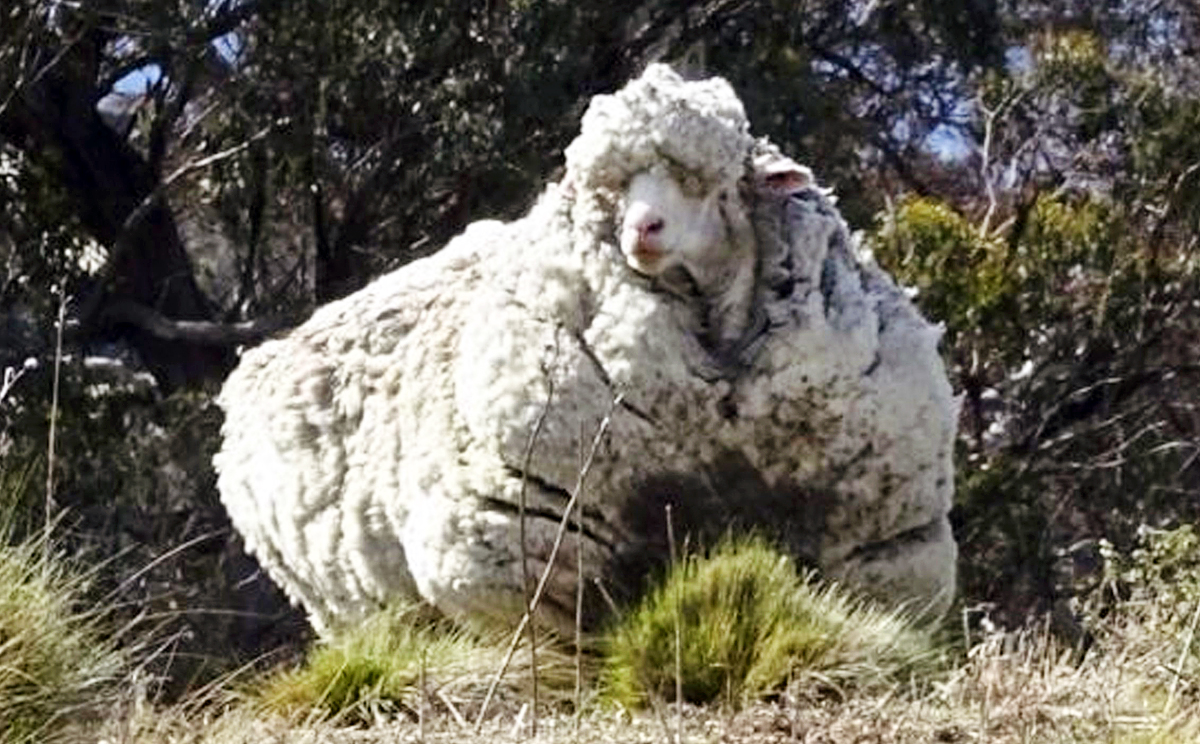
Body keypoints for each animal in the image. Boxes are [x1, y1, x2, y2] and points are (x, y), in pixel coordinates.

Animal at [214, 64, 958, 637]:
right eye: (612, 189)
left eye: (708, 182)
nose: (643, 230)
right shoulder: (529, 554)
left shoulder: (880, 547)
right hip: (349, 608)